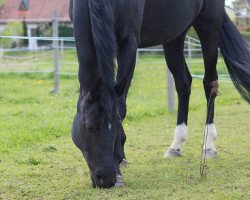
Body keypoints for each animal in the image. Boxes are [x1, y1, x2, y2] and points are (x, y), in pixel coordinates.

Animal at [69, 0, 250, 188]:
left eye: (118, 125)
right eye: (89, 126)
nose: (106, 179)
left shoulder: (129, 43)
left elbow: (121, 104)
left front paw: (119, 164)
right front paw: (122, 159)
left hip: (209, 27)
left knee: (210, 83)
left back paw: (208, 145)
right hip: (174, 35)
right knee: (183, 82)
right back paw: (176, 145)